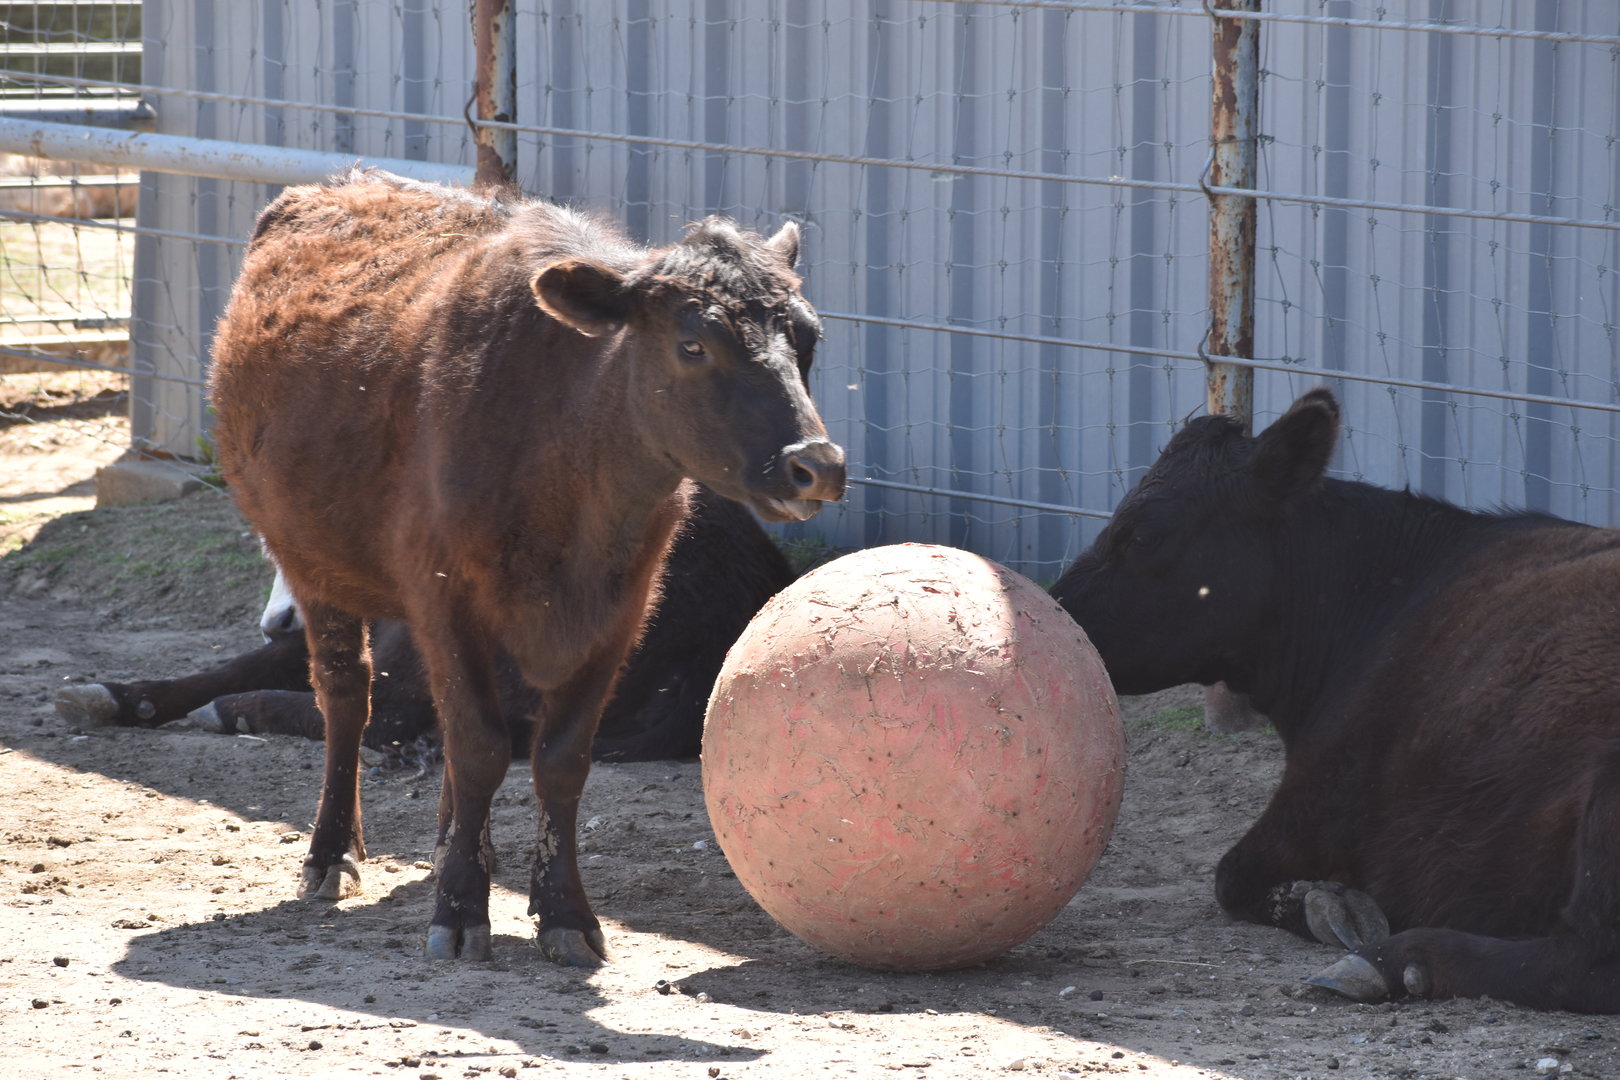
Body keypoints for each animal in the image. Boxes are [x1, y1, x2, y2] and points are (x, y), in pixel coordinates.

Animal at [206, 169, 845, 965]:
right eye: (694, 343)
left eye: (809, 337)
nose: (817, 466)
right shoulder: (447, 602)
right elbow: (479, 747)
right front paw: (459, 910)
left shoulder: (618, 613)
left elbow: (558, 760)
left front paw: (562, 911)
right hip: (313, 562)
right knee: (348, 698)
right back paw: (333, 852)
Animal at [1049, 388, 1620, 1014]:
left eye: (1142, 534)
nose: (1057, 609)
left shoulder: (1319, 799)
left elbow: (1230, 876)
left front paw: (1330, 904)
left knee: (1583, 960)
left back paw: (1393, 961)